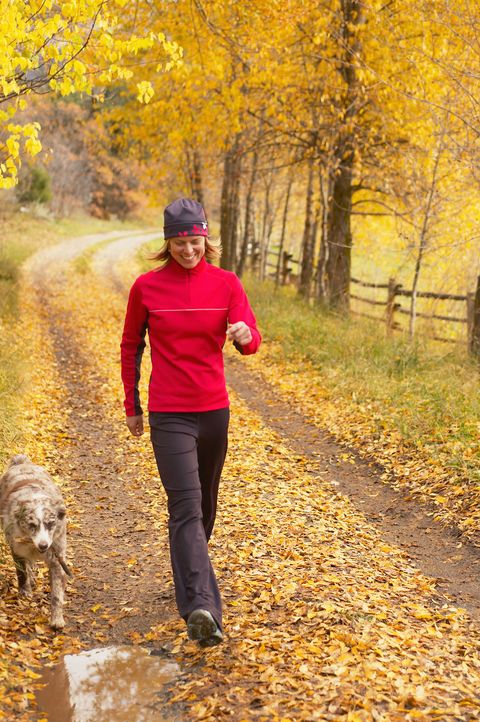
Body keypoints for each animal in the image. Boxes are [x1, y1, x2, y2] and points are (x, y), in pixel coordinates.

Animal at [0, 452, 71, 628]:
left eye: (50, 523)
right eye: (32, 525)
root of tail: (22, 462)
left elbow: (57, 593)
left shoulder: (56, 557)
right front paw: (24, 591)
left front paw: (57, 619)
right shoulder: (17, 548)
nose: (43, 545)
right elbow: (21, 572)